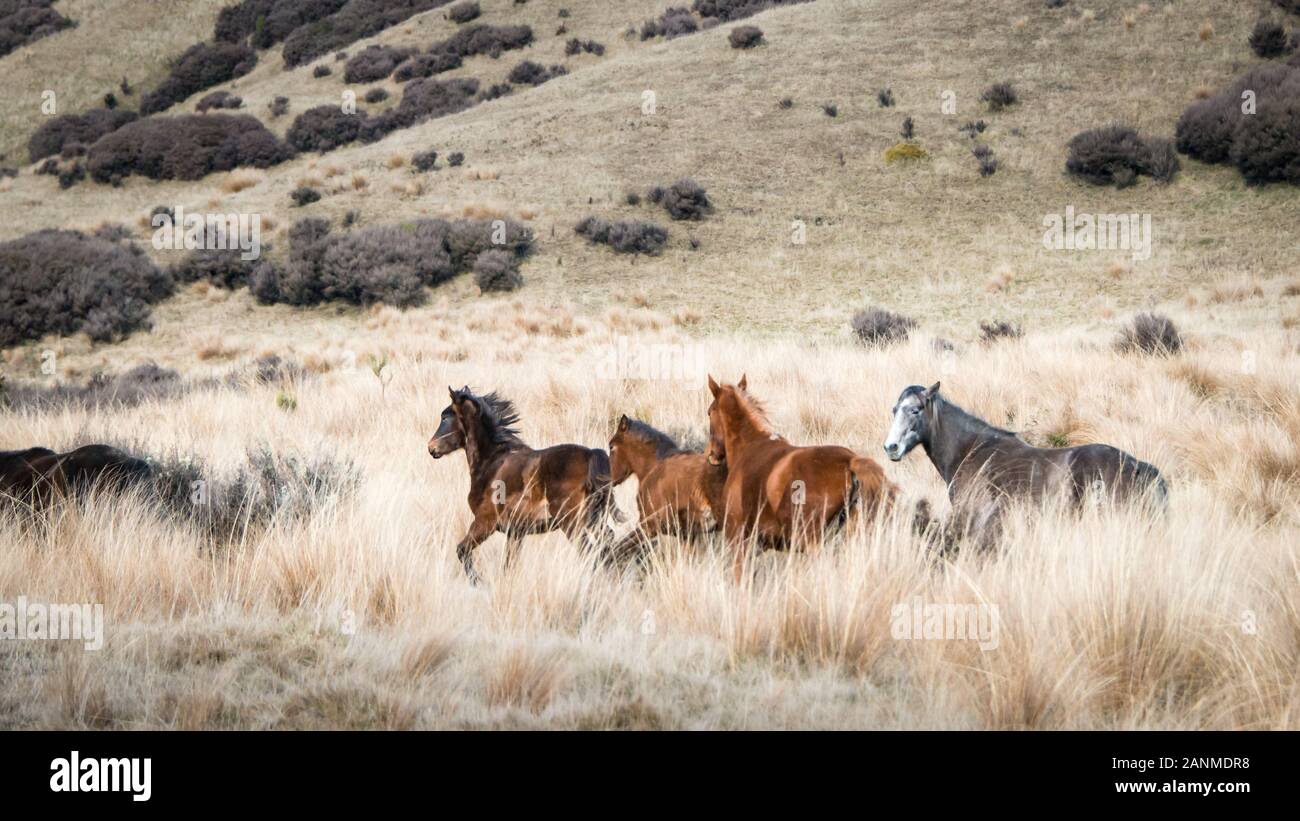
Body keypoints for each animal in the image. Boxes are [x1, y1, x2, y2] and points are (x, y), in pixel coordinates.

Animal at [428, 386, 619, 582]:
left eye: (445, 417)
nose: (431, 447)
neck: (492, 462)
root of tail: (591, 455)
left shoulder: (484, 523)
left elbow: (462, 550)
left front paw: (479, 582)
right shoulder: (515, 532)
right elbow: (508, 566)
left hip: (572, 523)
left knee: (591, 553)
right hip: (595, 520)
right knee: (607, 547)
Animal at [607, 414, 727, 560]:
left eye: (611, 446)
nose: (611, 480)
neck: (654, 468)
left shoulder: (649, 527)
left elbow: (618, 548)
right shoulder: (687, 535)